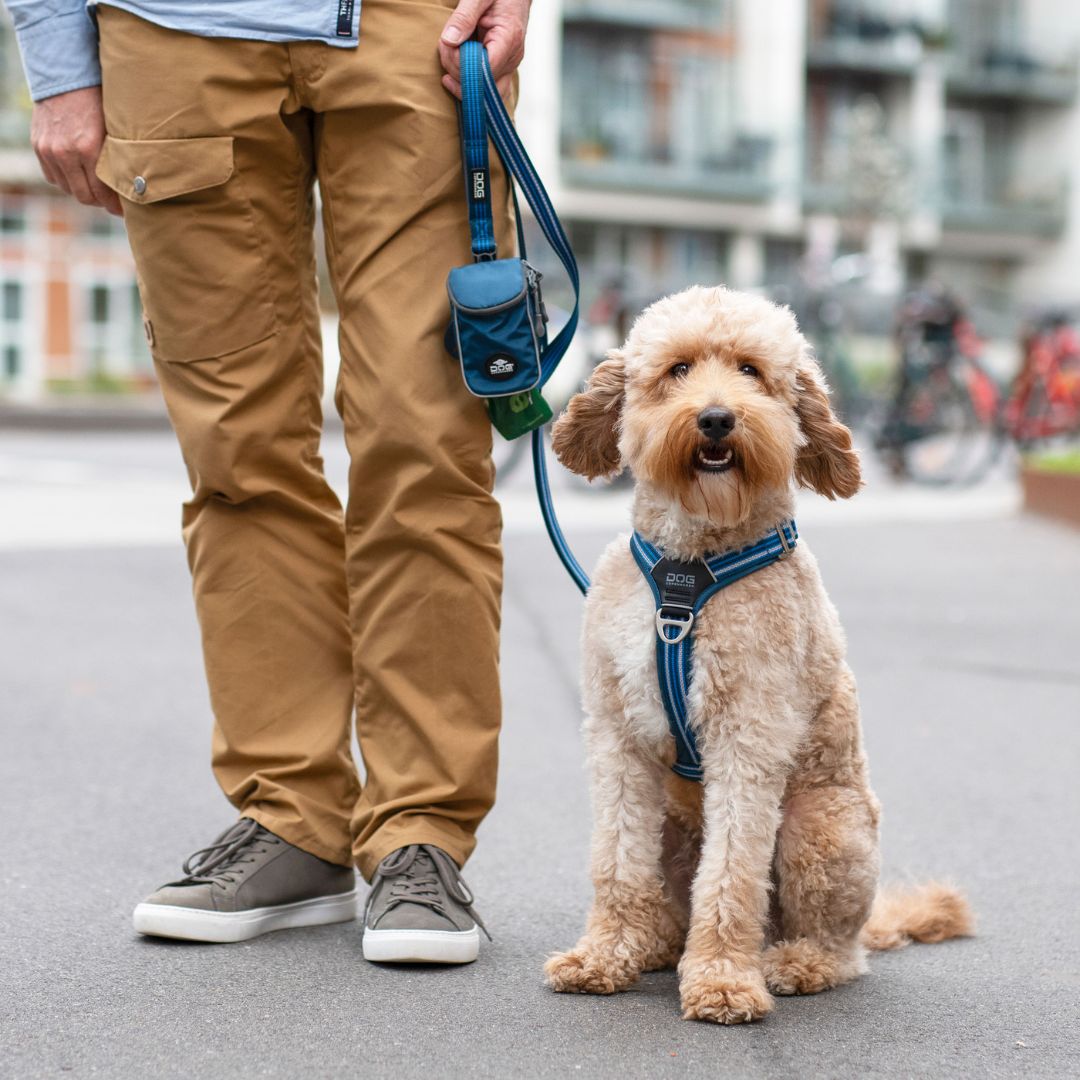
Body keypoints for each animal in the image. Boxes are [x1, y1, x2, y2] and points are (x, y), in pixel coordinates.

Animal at [544, 285, 976, 1019]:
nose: (717, 418)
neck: (688, 571)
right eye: (678, 369)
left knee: (838, 947)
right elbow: (616, 860)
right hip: (676, 819)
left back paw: (794, 962)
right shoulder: (617, 737)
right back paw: (654, 943)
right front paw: (604, 955)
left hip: (819, 828)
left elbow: (732, 877)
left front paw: (722, 980)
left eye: (751, 370)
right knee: (668, 901)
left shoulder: (748, 739)